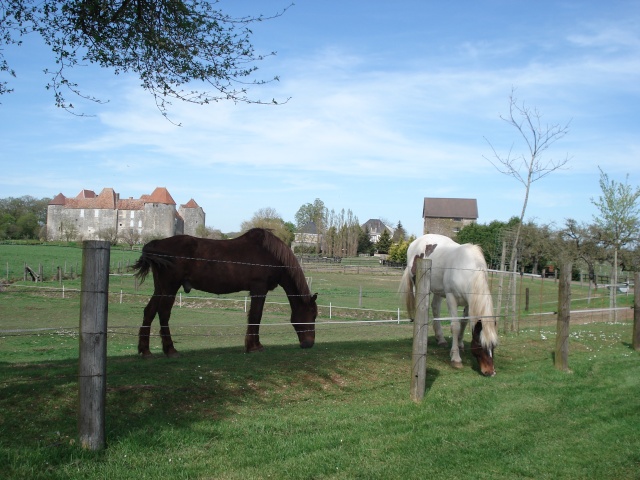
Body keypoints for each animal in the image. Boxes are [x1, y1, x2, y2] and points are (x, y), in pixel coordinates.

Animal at [132, 228, 318, 356]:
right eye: (313, 315)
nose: (309, 344)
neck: (271, 255)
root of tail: (156, 244)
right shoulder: (259, 289)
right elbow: (256, 316)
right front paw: (254, 346)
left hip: (160, 288)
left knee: (149, 311)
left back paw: (145, 351)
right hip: (170, 287)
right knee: (163, 313)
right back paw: (170, 349)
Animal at [402, 234, 498, 376]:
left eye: (494, 345)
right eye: (481, 345)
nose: (490, 372)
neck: (466, 269)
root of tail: (415, 242)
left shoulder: (469, 302)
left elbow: (464, 323)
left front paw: (460, 344)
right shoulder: (451, 298)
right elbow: (455, 326)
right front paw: (456, 358)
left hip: (437, 290)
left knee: (435, 307)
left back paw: (440, 339)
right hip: (418, 285)